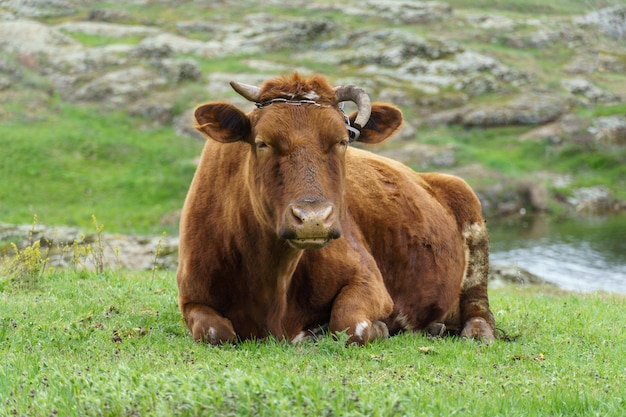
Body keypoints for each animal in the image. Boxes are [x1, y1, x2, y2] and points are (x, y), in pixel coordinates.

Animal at [176, 72, 492, 344]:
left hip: (471, 222)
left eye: (341, 141)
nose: (313, 218)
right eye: (262, 143)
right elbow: (215, 332)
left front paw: (372, 328)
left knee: (479, 307)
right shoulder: (191, 297)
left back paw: (472, 332)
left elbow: (350, 324)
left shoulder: (370, 281)